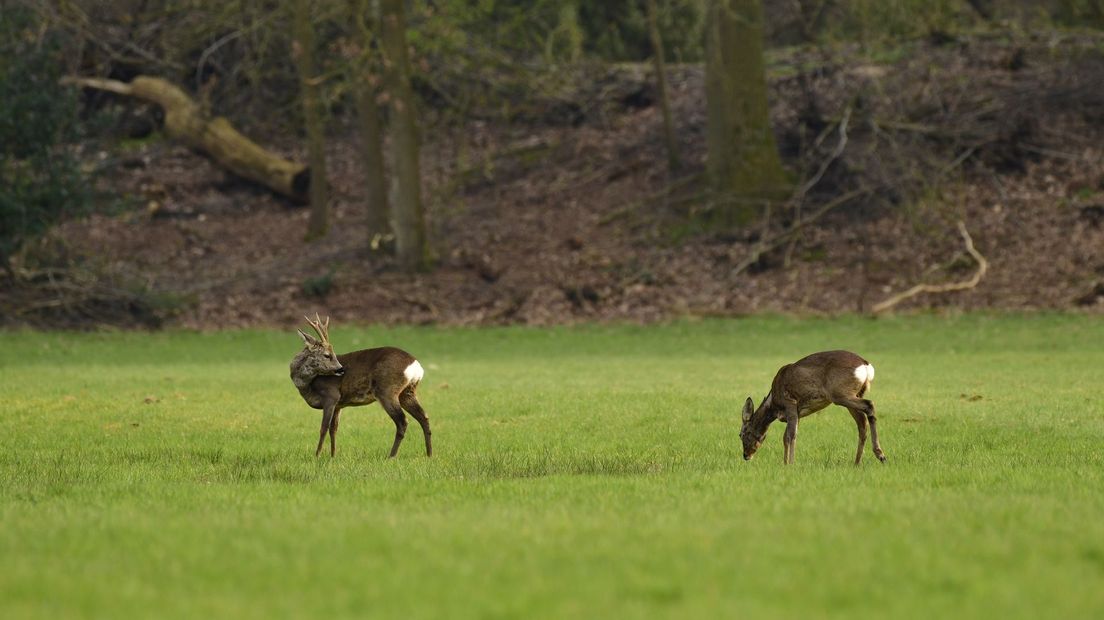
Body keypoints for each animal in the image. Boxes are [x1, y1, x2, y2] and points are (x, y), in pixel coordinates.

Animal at [289, 315, 430, 456]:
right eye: (327, 355)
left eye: (332, 354)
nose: (341, 369)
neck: (307, 384)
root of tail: (416, 366)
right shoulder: (338, 405)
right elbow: (333, 429)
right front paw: (333, 455)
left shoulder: (331, 395)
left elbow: (323, 428)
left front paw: (317, 455)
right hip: (407, 392)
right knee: (424, 417)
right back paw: (429, 454)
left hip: (387, 390)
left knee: (402, 421)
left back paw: (391, 456)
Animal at [741, 350, 887, 461]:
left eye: (741, 434)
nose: (746, 456)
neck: (774, 404)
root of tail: (866, 365)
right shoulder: (797, 412)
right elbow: (785, 437)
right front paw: (785, 463)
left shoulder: (790, 403)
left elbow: (790, 436)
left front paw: (791, 464)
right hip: (855, 394)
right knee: (862, 424)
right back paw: (857, 463)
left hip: (840, 394)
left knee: (869, 405)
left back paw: (880, 455)